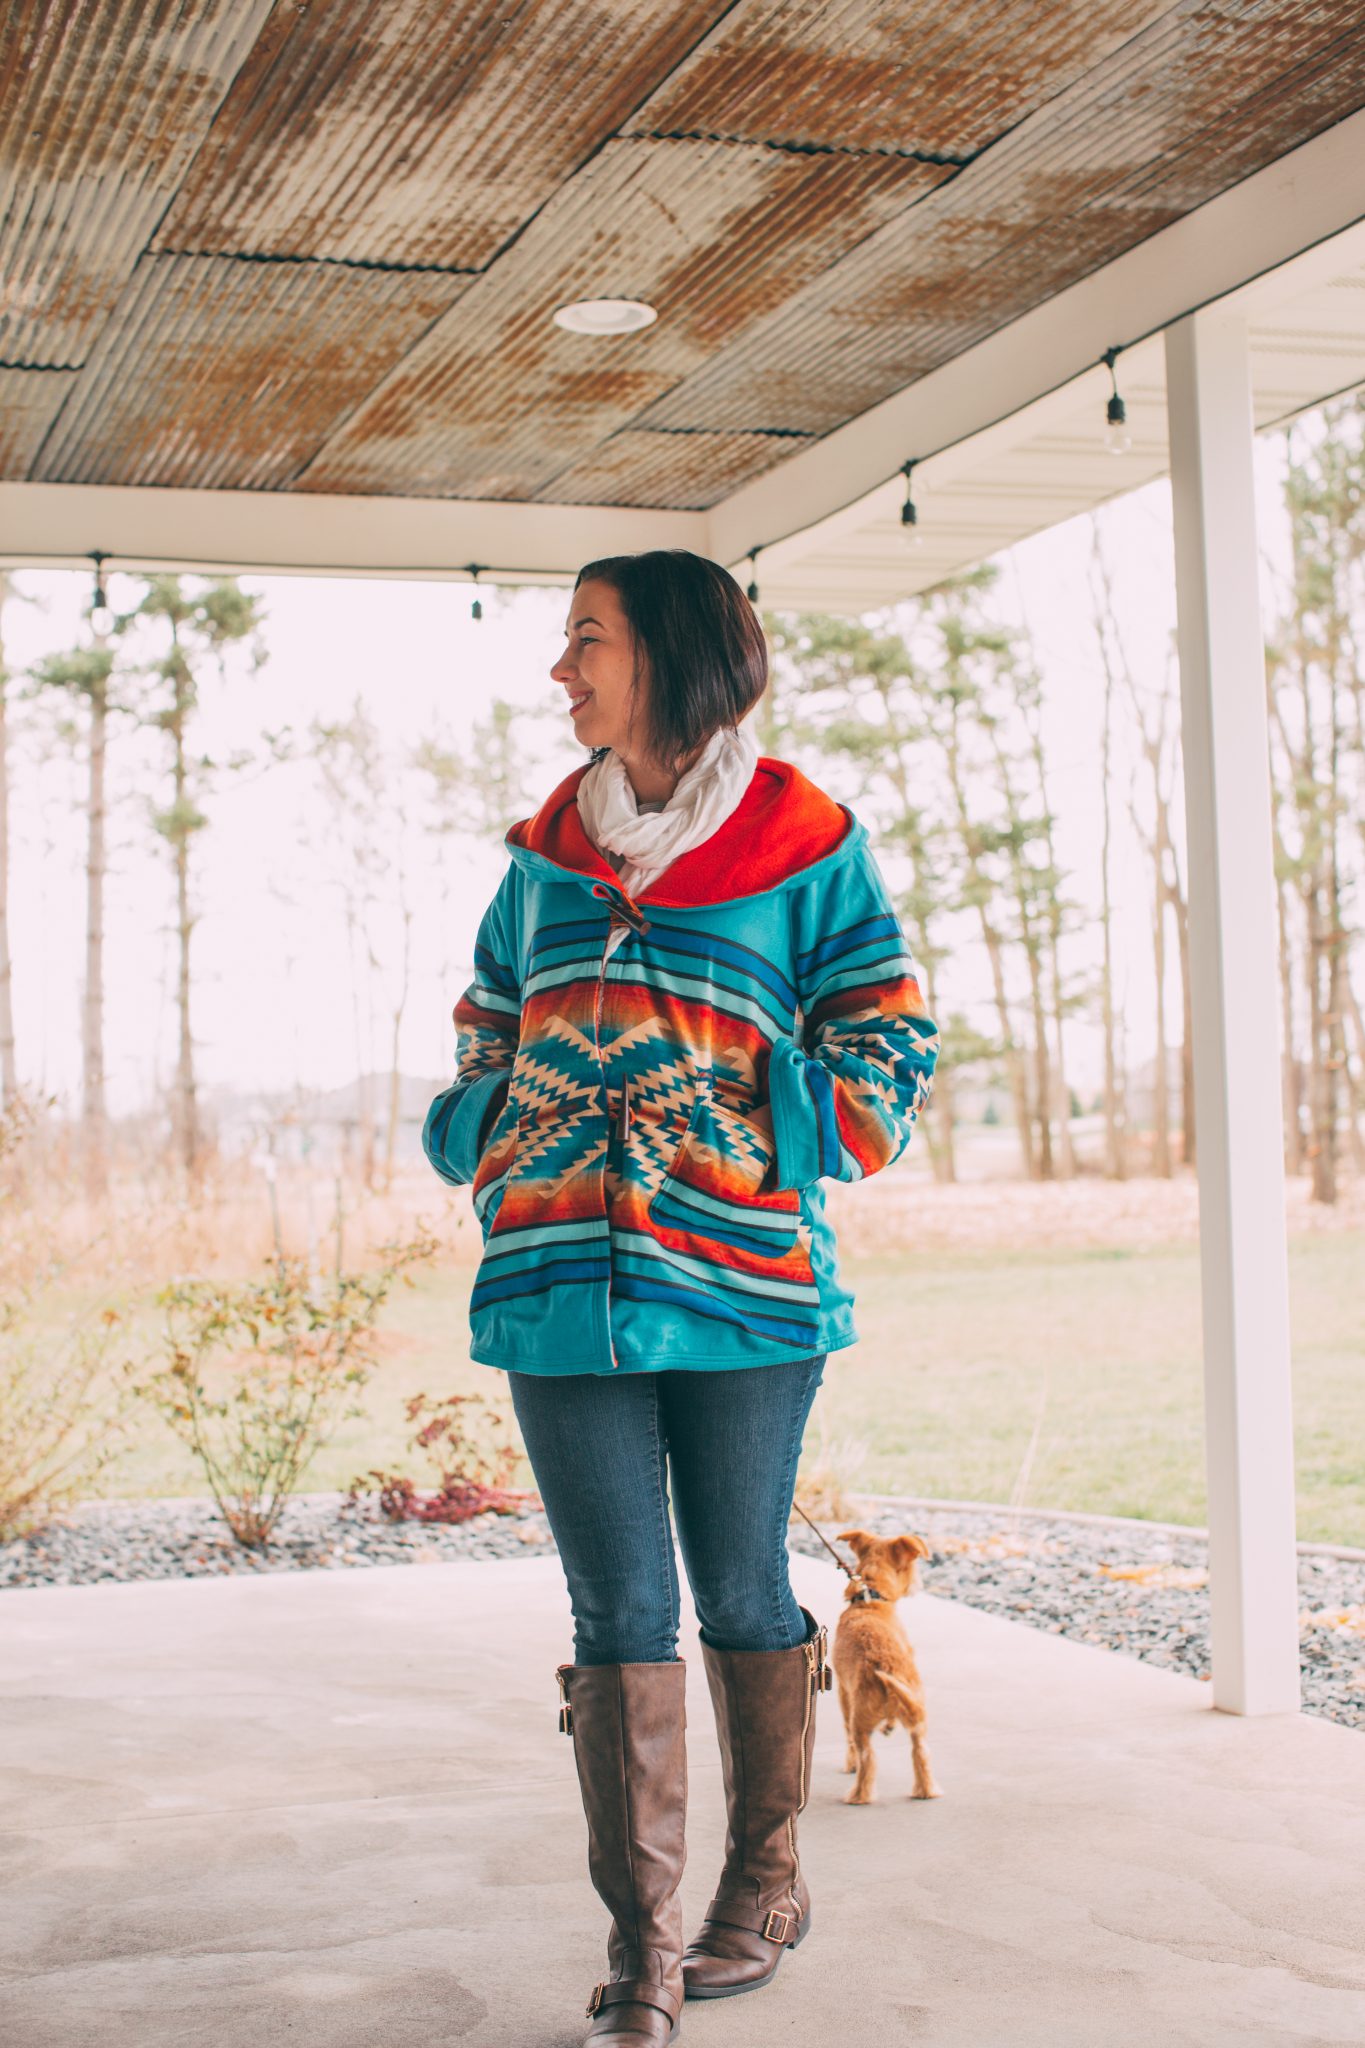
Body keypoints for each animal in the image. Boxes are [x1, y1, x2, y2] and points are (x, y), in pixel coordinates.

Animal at [834, 1531, 941, 1802]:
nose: (918, 1584)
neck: (869, 1599)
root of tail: (887, 1672)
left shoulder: (843, 1690)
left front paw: (849, 1764)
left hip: (860, 1720)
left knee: (867, 1758)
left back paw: (858, 1796)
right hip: (918, 1718)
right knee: (920, 1753)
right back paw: (926, 1791)